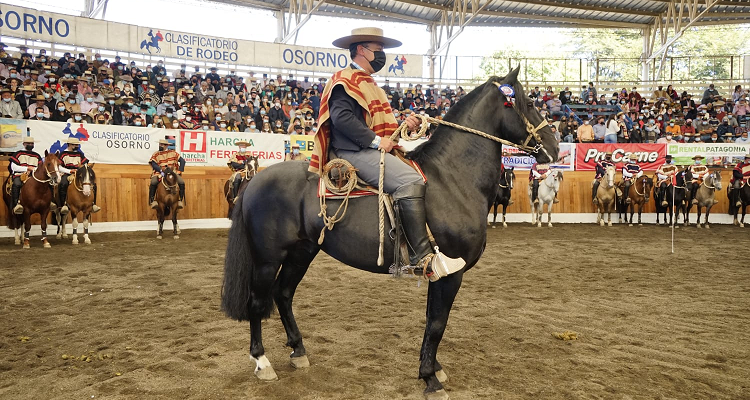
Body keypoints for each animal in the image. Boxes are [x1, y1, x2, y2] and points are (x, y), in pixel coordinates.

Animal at [220, 69, 560, 400]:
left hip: (301, 252)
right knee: (257, 302)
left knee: (283, 294)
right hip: (267, 259)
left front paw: (433, 369)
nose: (555, 146)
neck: (452, 179)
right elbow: (437, 324)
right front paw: (430, 380)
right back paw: (262, 362)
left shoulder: (437, 275)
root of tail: (255, 180)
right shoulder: (451, 274)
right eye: (529, 102)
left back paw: (298, 351)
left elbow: (431, 319)